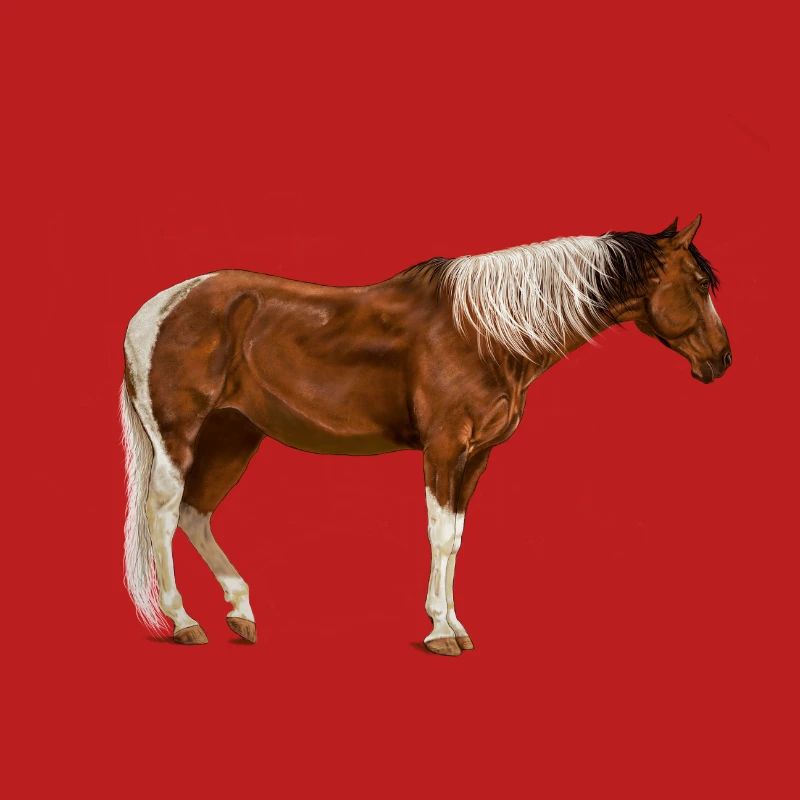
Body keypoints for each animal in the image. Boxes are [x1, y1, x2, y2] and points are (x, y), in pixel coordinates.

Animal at [120, 214, 731, 655]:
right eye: (701, 283)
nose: (722, 361)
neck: (484, 331)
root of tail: (154, 310)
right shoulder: (444, 448)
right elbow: (439, 535)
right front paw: (441, 634)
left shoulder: (477, 457)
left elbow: (456, 538)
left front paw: (455, 625)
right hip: (180, 436)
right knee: (165, 512)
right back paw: (184, 622)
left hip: (235, 435)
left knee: (197, 513)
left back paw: (241, 613)